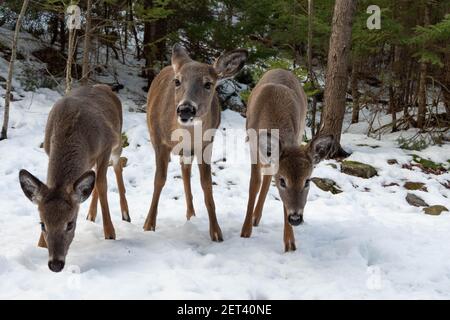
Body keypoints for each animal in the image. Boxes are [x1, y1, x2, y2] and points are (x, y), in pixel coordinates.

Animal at [18, 85, 130, 272]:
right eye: (42, 224)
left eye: (70, 224)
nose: (55, 264)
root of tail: (105, 87)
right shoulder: (48, 150)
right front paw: (40, 244)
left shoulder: (106, 146)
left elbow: (102, 184)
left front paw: (110, 233)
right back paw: (91, 215)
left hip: (118, 140)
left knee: (117, 166)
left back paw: (125, 214)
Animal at [143, 43, 248, 241]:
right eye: (177, 81)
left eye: (208, 84)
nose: (185, 109)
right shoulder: (160, 142)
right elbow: (159, 180)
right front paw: (148, 224)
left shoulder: (206, 145)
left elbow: (207, 185)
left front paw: (216, 232)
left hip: (189, 151)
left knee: (185, 171)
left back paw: (191, 214)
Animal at [239, 69, 334, 252]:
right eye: (282, 181)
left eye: (307, 181)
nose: (296, 218)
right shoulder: (254, 149)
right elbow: (254, 184)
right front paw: (245, 231)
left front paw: (290, 243)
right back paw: (254, 219)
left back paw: (257, 217)